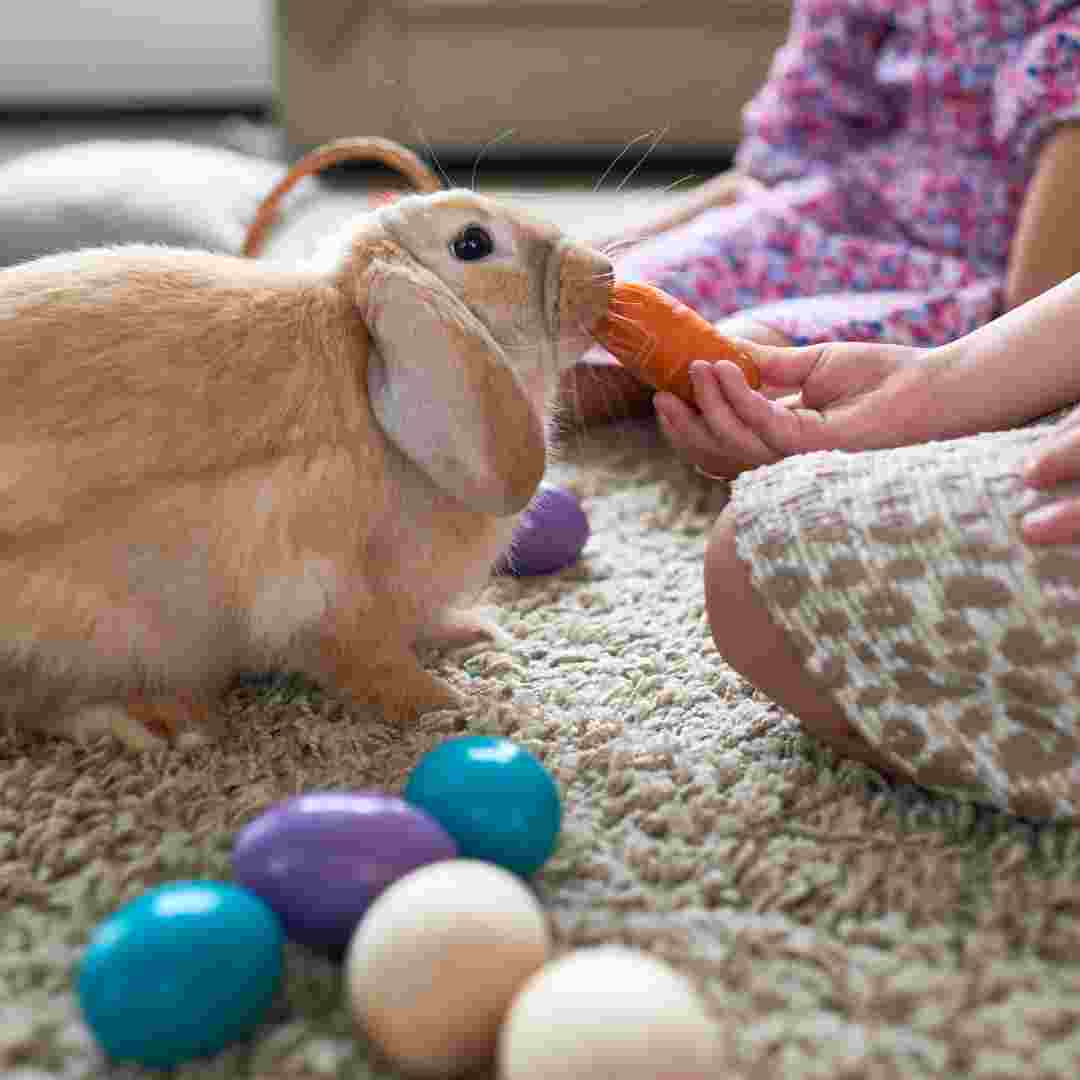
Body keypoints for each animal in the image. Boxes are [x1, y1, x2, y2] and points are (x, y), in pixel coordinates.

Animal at [0, 179, 613, 751]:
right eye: (472, 243)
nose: (603, 273)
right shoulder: (317, 589)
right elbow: (366, 659)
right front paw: (440, 704)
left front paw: (476, 632)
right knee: (41, 705)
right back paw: (159, 723)